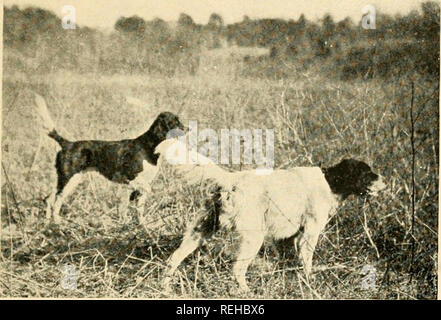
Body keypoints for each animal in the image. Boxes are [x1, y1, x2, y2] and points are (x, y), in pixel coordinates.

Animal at [34, 93, 184, 222]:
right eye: (174, 122)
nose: (187, 129)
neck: (149, 146)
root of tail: (67, 144)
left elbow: (139, 208)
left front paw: (141, 225)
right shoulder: (131, 177)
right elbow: (145, 190)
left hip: (69, 180)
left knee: (49, 199)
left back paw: (48, 223)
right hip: (68, 179)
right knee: (55, 200)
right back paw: (57, 222)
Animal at [155, 140, 384, 292]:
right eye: (368, 173)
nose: (384, 181)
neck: (331, 182)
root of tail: (231, 180)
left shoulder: (289, 238)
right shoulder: (309, 233)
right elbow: (307, 262)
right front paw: (309, 282)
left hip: (200, 230)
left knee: (173, 258)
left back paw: (165, 288)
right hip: (253, 237)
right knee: (237, 269)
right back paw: (246, 292)